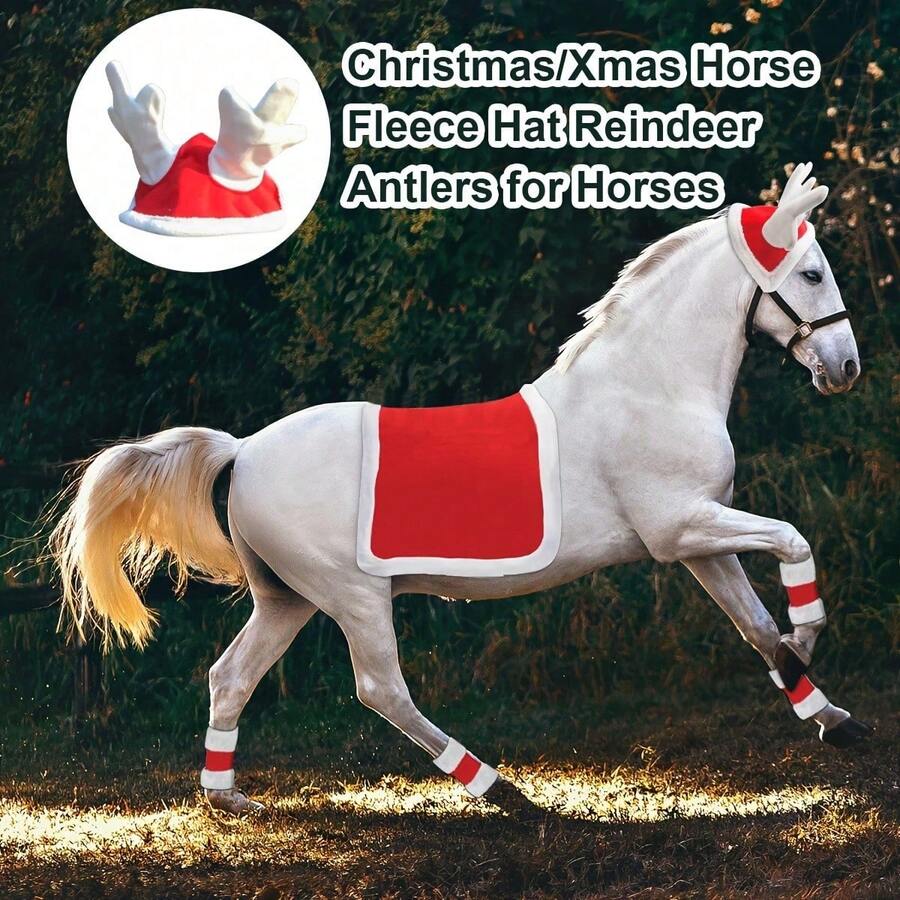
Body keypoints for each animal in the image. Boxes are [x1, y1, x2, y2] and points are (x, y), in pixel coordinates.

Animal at [51, 166, 873, 816]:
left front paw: (834, 717)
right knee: (381, 690)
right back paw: (504, 792)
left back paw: (229, 799)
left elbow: (754, 626)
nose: (845, 368)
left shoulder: (698, 537)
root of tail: (244, 452)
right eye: (810, 274)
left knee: (230, 677)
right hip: (353, 596)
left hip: (287, 598)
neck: (649, 384)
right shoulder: (681, 529)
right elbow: (793, 546)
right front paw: (805, 643)